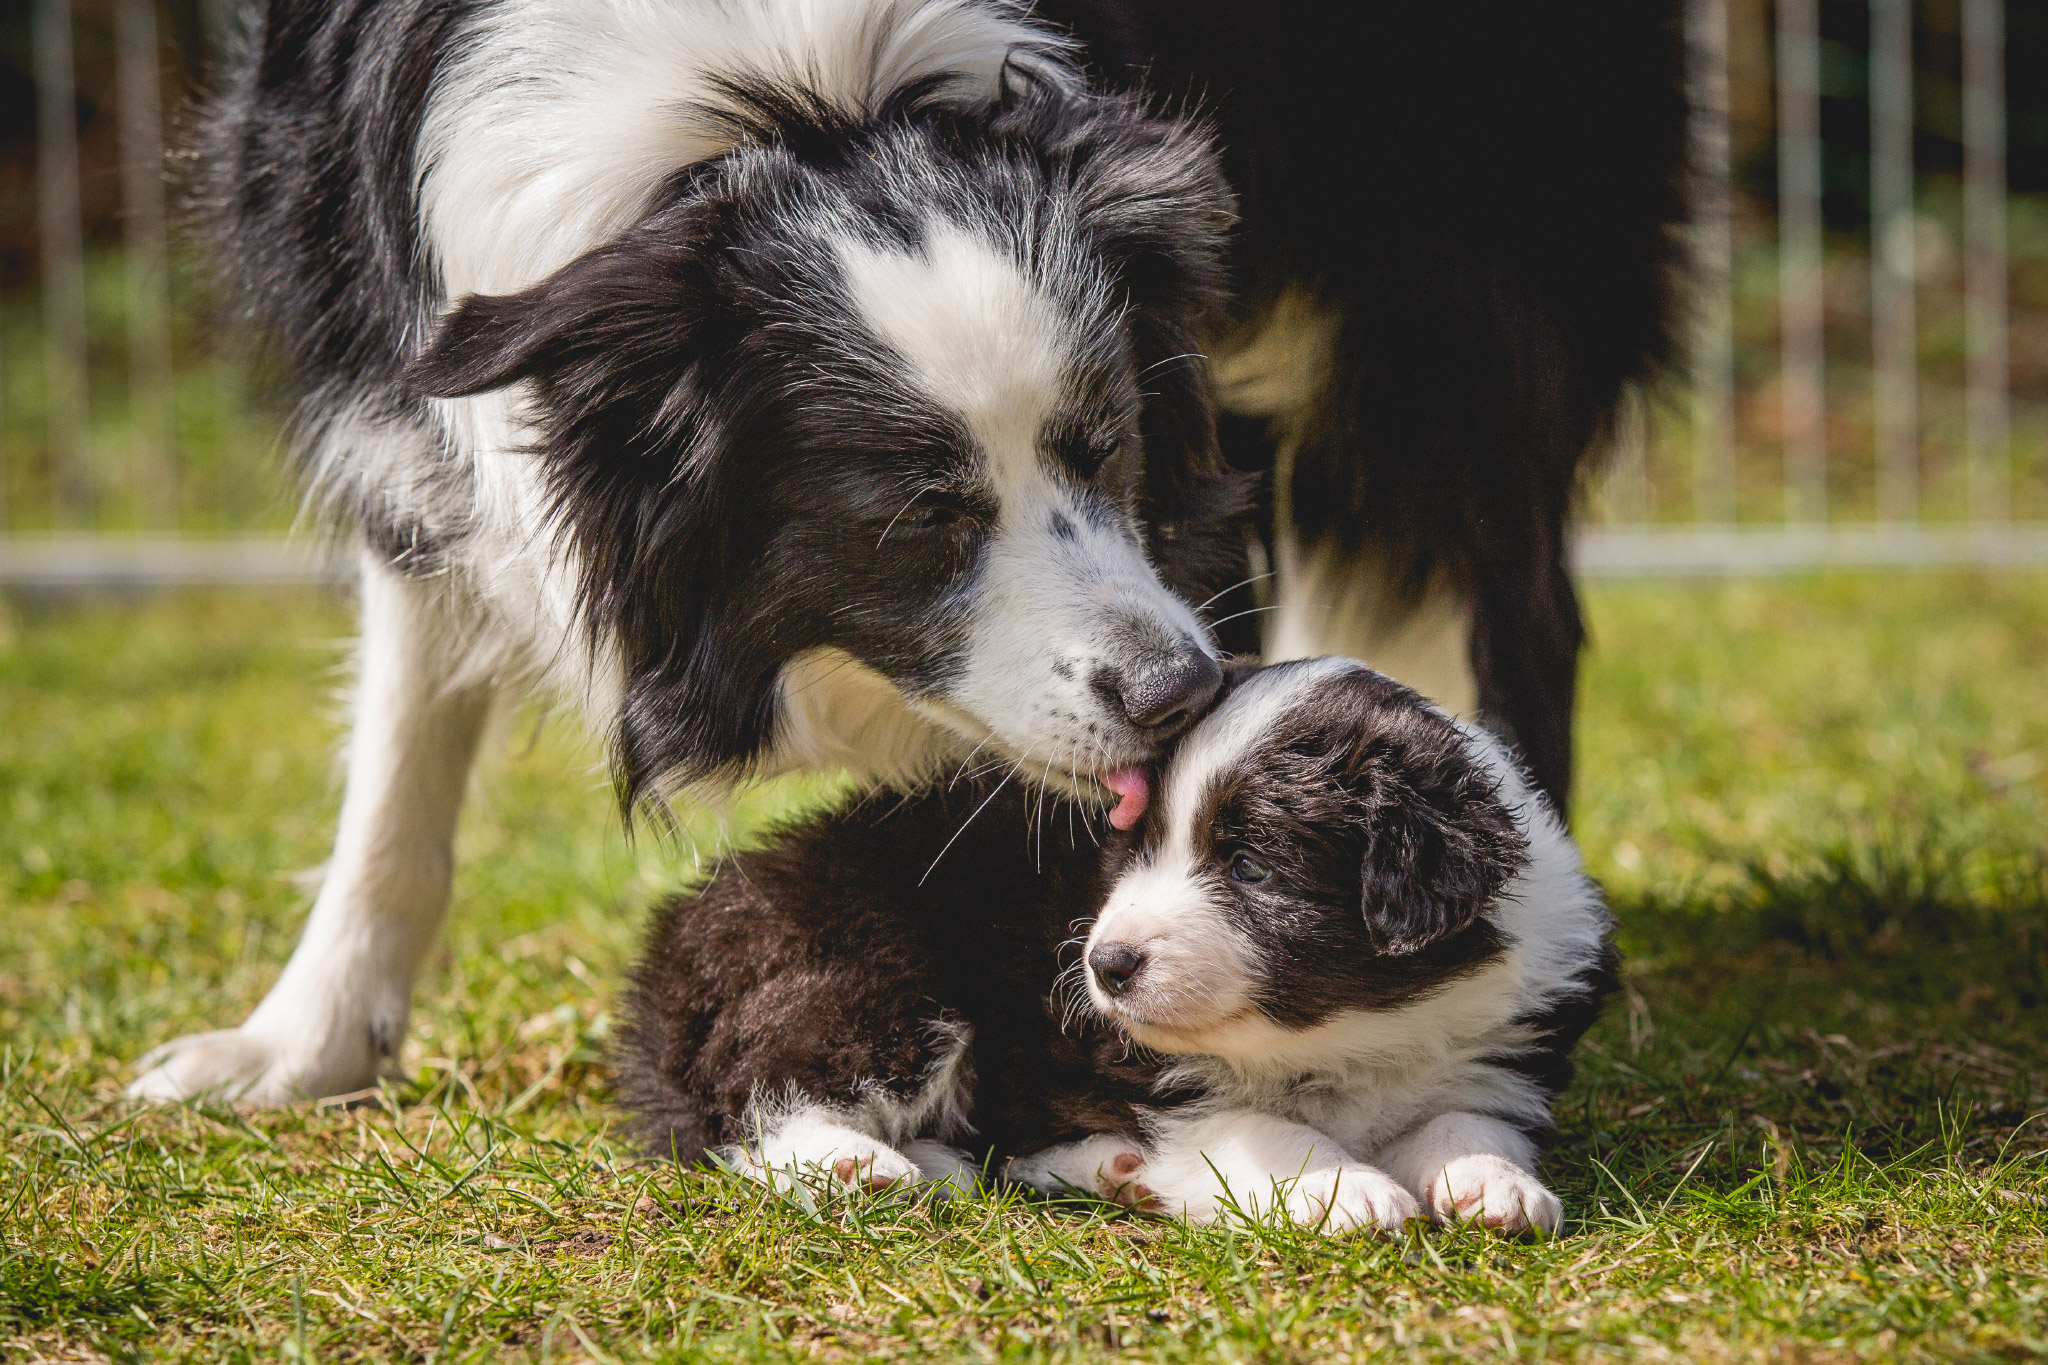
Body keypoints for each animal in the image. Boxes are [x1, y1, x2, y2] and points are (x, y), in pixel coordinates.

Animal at [136, 0, 1687, 1105]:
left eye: (1104, 445)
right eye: (919, 509)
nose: (1175, 698)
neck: (778, 97)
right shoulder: (389, 357)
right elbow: (402, 741)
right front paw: (292, 1047)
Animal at [618, 663, 1613, 1236]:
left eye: (1249, 862)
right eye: (1135, 847)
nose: (1106, 966)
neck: (1346, 1033)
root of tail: (679, 933)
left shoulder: (1502, 1044)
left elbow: (1467, 1114)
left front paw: (1492, 1185)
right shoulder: (1129, 1064)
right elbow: (1259, 1125)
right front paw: (1347, 1189)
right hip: (870, 968)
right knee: (754, 1098)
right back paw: (859, 1167)